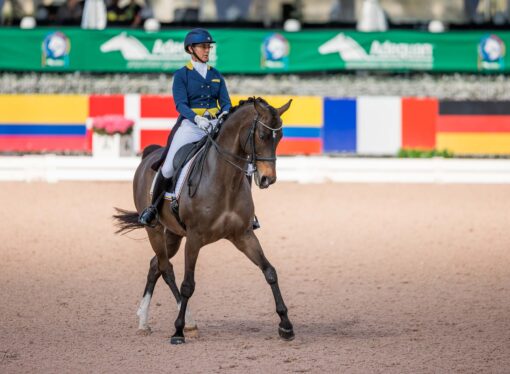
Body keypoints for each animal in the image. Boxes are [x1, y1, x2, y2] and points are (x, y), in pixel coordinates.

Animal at [113, 97, 292, 344]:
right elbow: (188, 284)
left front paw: (286, 325)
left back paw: (144, 321)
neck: (225, 180)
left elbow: (269, 272)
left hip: (173, 234)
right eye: (263, 135)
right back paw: (184, 321)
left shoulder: (243, 235)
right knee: (166, 268)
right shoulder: (194, 238)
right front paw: (177, 332)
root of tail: (150, 154)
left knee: (155, 266)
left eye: (280, 136)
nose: (268, 179)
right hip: (155, 230)